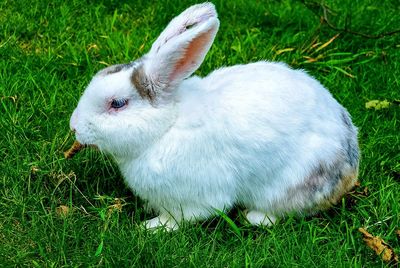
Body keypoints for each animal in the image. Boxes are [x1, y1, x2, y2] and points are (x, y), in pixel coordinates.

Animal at [69, 2, 360, 230]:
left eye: (117, 104)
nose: (74, 127)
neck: (166, 127)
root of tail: (351, 165)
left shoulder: (193, 197)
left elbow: (181, 217)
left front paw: (151, 227)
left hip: (289, 183)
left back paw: (254, 218)